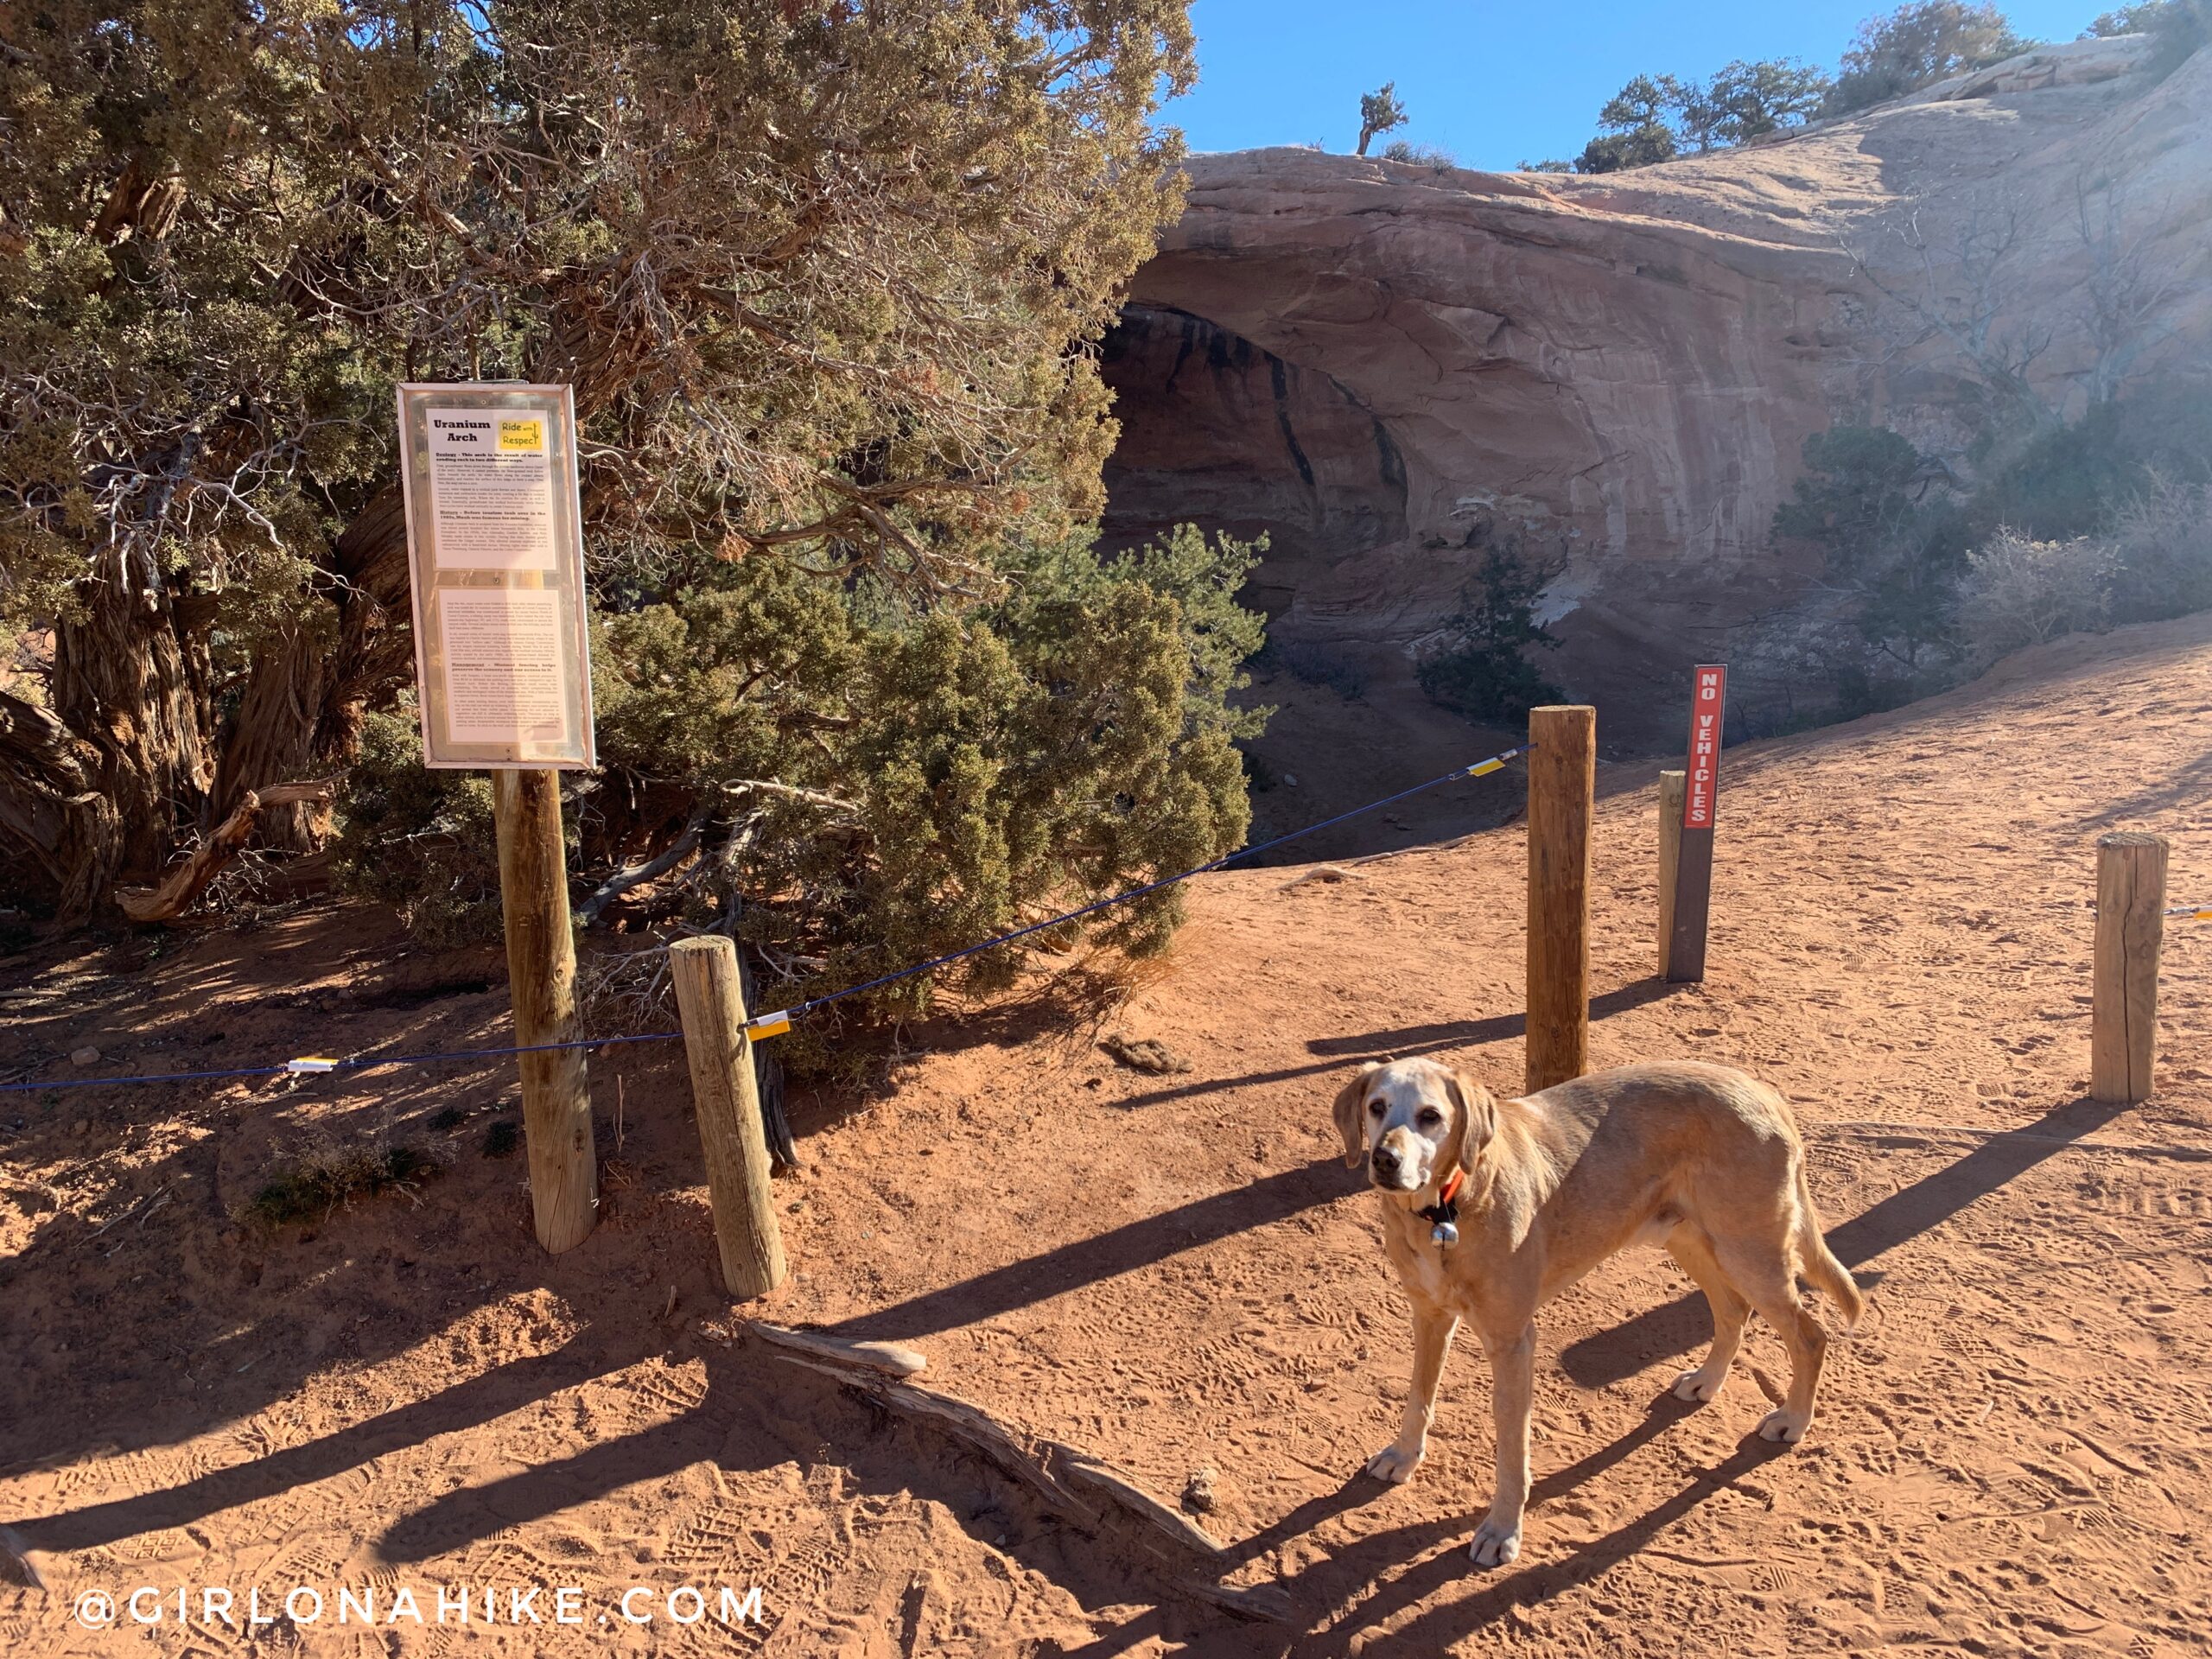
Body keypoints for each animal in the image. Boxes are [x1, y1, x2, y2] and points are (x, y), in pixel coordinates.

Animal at [1327, 1065, 1866, 1574]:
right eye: (1377, 1107)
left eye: (1431, 1116)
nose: (1384, 1160)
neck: (1448, 1206)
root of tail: (1764, 1091)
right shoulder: (1429, 1315)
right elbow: (1418, 1398)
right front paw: (1403, 1456)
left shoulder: (1512, 1340)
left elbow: (1512, 1451)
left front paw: (1502, 1530)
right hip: (1689, 1239)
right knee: (1733, 1310)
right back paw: (1707, 1382)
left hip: (1750, 1253)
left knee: (1810, 1335)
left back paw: (1793, 1420)